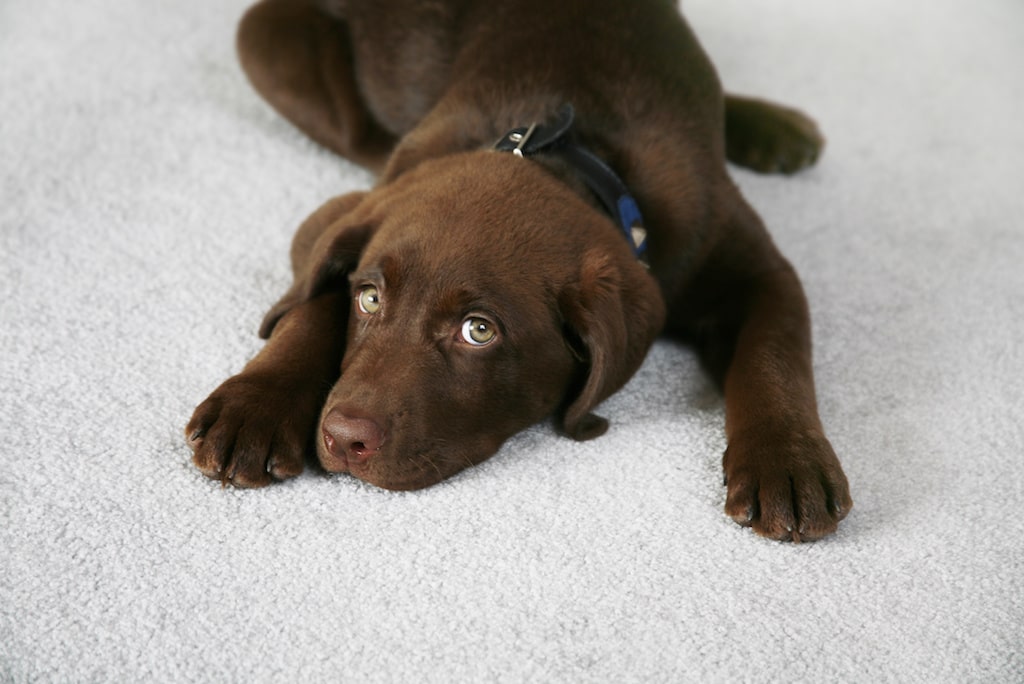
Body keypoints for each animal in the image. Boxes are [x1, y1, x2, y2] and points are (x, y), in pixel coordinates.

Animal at [182, 0, 847, 540]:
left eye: (480, 331)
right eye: (368, 298)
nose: (344, 439)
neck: (574, 156)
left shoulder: (753, 265)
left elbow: (774, 354)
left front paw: (787, 463)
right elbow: (312, 300)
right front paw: (256, 402)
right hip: (268, 42)